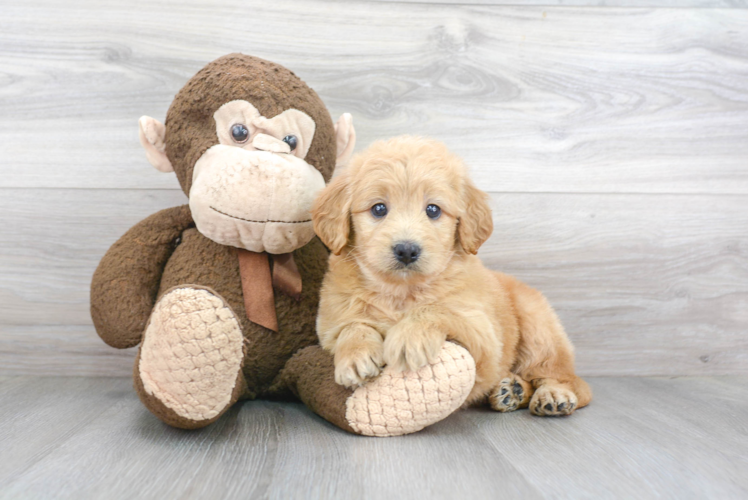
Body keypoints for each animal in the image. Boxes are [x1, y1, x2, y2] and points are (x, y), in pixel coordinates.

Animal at [310, 136, 592, 414]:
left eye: (433, 210)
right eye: (379, 209)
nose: (406, 250)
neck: (402, 292)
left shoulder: (484, 336)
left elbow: (437, 309)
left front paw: (408, 338)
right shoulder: (329, 324)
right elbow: (352, 325)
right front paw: (356, 355)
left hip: (538, 325)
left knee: (569, 380)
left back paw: (553, 394)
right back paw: (512, 390)